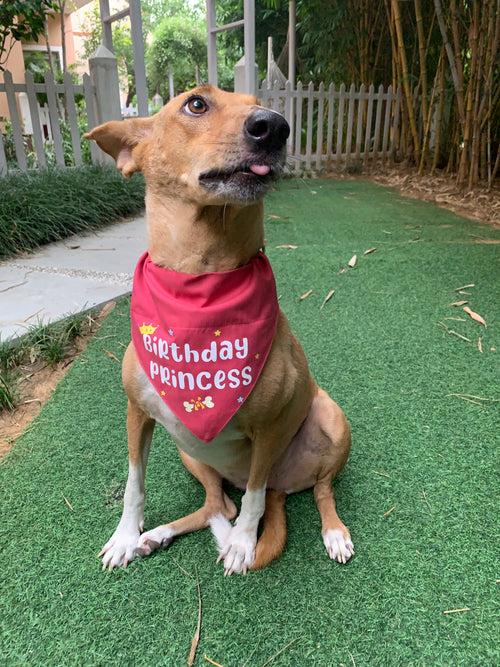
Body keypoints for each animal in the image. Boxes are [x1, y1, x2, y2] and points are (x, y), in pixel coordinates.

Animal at [86, 85, 354, 576]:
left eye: (261, 102)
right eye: (196, 103)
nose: (275, 126)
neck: (201, 281)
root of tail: (283, 488)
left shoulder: (269, 429)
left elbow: (252, 499)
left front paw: (243, 544)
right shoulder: (137, 413)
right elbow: (134, 482)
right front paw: (126, 536)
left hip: (330, 417)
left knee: (314, 490)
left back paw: (333, 533)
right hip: (188, 449)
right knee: (218, 504)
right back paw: (155, 536)